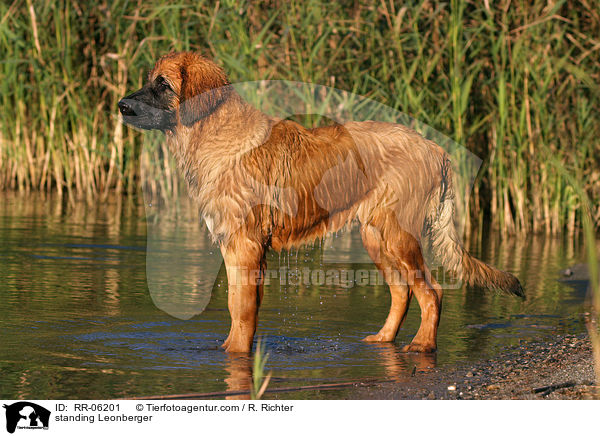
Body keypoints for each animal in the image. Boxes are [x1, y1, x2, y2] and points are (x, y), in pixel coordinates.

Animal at [119, 52, 524, 356]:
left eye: (163, 85)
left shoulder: (244, 244)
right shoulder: (238, 247)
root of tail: (436, 149)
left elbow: (241, 308)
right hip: (375, 236)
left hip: (399, 236)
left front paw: (234, 353)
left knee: (431, 292)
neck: (215, 133)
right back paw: (383, 340)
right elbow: (240, 306)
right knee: (402, 291)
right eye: (150, 80)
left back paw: (422, 345)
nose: (121, 105)